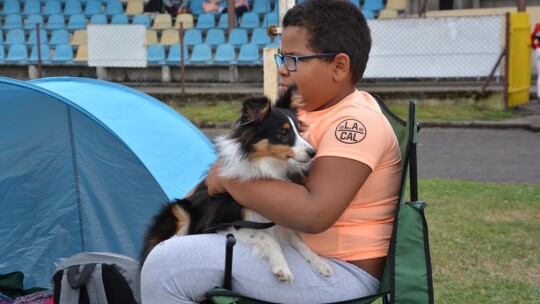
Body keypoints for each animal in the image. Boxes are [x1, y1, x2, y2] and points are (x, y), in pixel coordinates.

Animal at [141, 86, 332, 282]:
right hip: (180, 210)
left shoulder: (279, 220)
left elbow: (297, 240)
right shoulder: (223, 223)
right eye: (283, 132)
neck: (267, 166)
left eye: (299, 131)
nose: (313, 153)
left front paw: (320, 263)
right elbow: (267, 238)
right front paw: (281, 267)